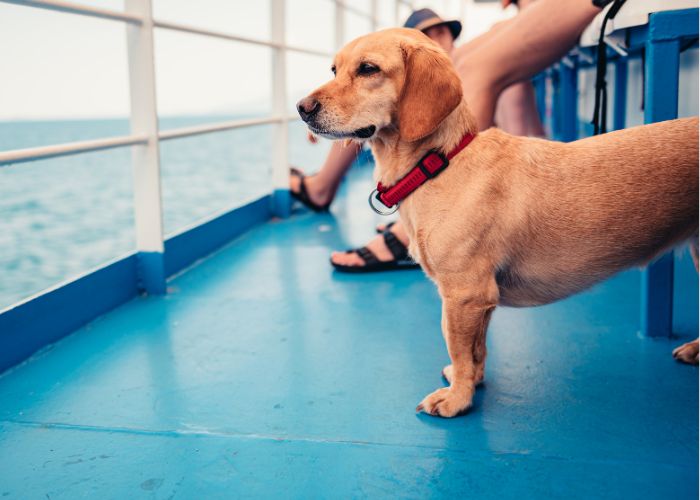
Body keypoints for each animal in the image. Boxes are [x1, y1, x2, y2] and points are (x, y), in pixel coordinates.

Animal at [296, 28, 700, 418]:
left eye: (368, 69)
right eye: (334, 69)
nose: (301, 108)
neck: (439, 162)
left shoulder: (464, 294)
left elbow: (459, 349)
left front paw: (456, 399)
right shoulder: (480, 301)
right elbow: (477, 351)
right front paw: (472, 383)